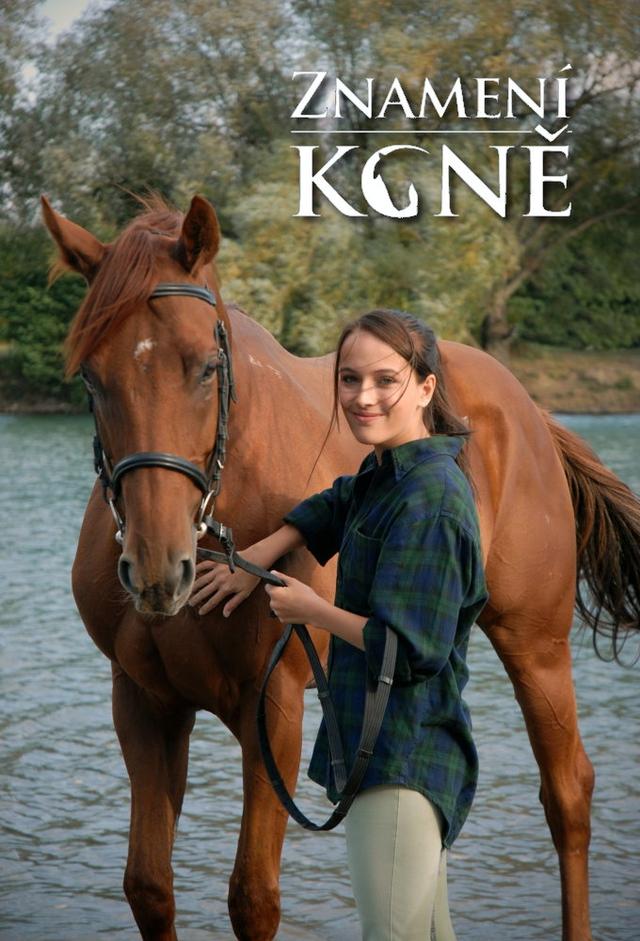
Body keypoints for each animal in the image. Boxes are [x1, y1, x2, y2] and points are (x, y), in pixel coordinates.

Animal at [41, 192, 640, 941]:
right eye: (93, 377)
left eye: (206, 365)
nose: (157, 566)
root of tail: (530, 410)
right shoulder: (144, 703)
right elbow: (148, 885)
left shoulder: (274, 707)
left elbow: (254, 896)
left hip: (535, 642)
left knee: (567, 794)